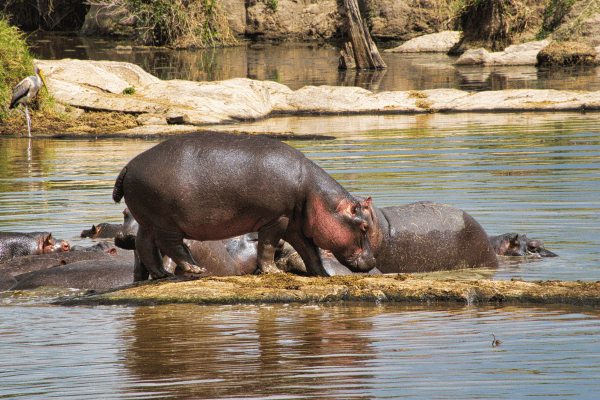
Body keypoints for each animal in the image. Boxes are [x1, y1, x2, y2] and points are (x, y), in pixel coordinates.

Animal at [112, 131, 376, 282]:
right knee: (170, 244)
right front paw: (274, 272)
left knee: (144, 245)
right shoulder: (277, 218)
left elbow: (310, 251)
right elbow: (268, 246)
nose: (373, 262)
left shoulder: (294, 223)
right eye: (365, 227)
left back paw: (161, 275)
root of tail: (128, 165)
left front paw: (322, 275)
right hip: (166, 221)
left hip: (147, 218)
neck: (314, 193)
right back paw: (195, 269)